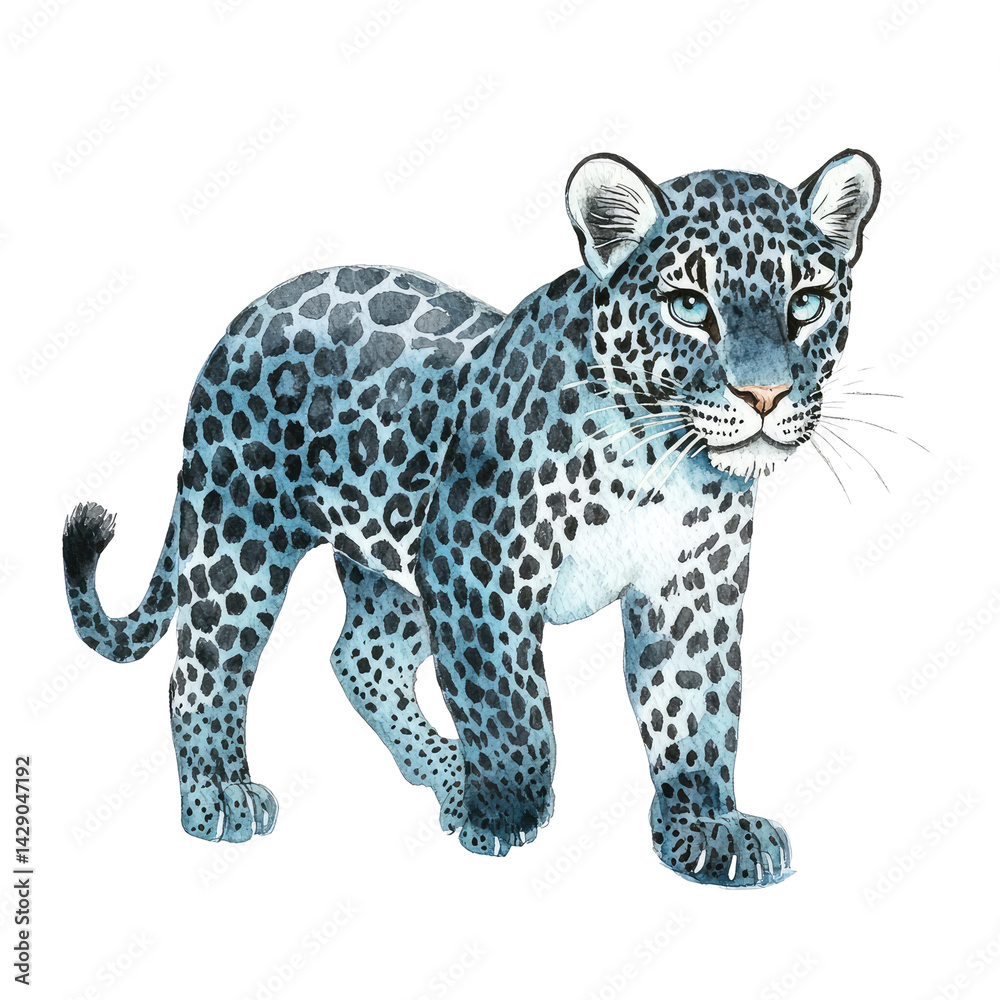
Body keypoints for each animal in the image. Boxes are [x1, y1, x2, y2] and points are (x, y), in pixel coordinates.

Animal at [63, 148, 879, 886]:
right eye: (689, 306)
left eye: (805, 303)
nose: (764, 396)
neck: (660, 460)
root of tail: (245, 315)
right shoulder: (475, 567)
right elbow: (512, 709)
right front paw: (507, 815)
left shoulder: (691, 589)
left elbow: (696, 713)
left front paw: (706, 829)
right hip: (240, 532)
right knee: (204, 666)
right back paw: (221, 795)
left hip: (390, 562)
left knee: (361, 660)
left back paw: (447, 774)